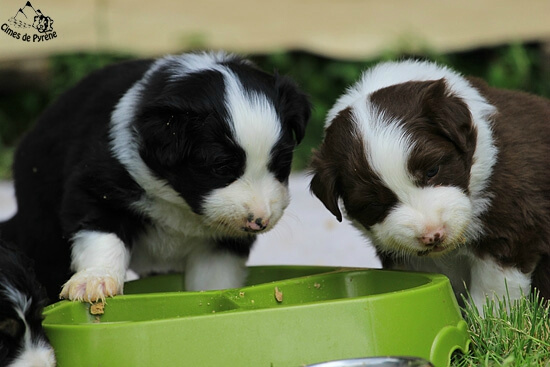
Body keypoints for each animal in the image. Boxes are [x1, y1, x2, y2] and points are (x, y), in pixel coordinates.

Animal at [2, 52, 310, 304]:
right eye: (221, 168)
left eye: (282, 165)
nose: (260, 220)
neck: (179, 204)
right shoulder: (98, 184)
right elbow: (102, 233)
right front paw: (95, 281)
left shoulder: (224, 240)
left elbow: (214, 276)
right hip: (42, 232)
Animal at [312, 61, 550, 314]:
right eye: (373, 203)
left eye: (432, 171)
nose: (432, 236)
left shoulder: (513, 227)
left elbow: (493, 290)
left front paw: (485, 320)